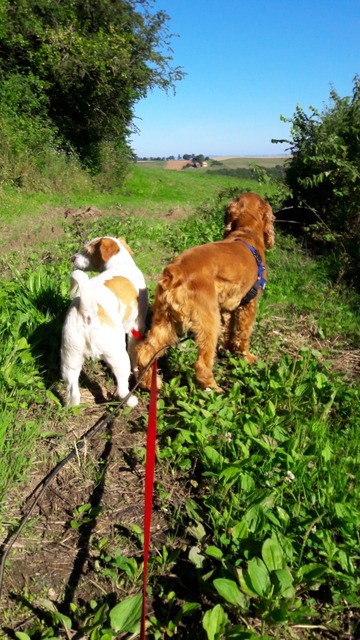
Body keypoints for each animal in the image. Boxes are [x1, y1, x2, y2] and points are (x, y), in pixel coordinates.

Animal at [61, 238, 147, 408]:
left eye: (87, 250)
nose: (72, 258)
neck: (120, 263)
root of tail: (87, 311)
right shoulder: (136, 327)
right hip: (119, 356)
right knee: (122, 390)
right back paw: (131, 400)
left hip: (70, 360)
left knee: (73, 393)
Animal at [136, 191, 274, 390]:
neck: (247, 232)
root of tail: (176, 272)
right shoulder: (249, 305)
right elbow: (243, 334)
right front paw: (246, 357)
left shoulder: (228, 307)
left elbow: (228, 331)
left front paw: (226, 349)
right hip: (208, 321)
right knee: (202, 363)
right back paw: (212, 388)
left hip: (164, 320)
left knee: (145, 352)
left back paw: (149, 384)